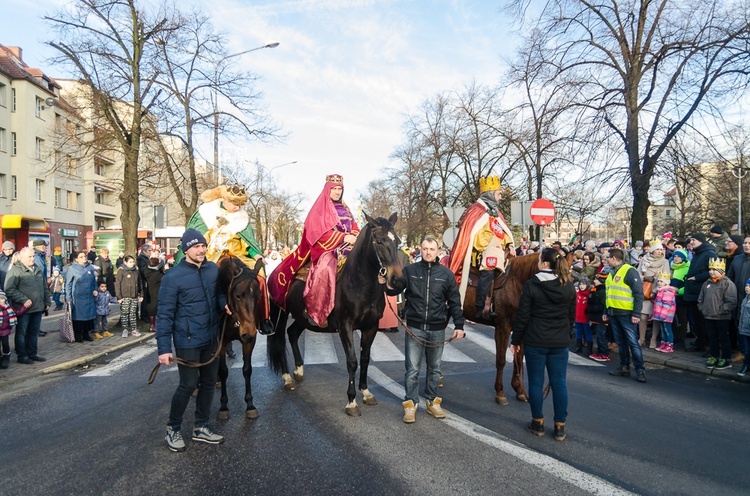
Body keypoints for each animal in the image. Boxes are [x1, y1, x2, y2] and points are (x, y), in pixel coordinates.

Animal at [217, 254, 264, 420]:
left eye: (259, 296)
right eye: (238, 296)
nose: (248, 333)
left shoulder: (249, 342)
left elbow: (247, 369)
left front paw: (250, 405)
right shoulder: (221, 341)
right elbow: (223, 371)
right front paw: (223, 406)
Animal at [268, 212, 406, 414]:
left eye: (397, 241)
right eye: (379, 241)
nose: (397, 281)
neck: (360, 284)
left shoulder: (371, 327)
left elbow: (365, 358)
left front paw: (366, 392)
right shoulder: (345, 326)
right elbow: (352, 361)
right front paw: (351, 401)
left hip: (301, 317)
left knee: (292, 333)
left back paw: (299, 371)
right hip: (281, 313)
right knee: (279, 340)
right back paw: (287, 378)